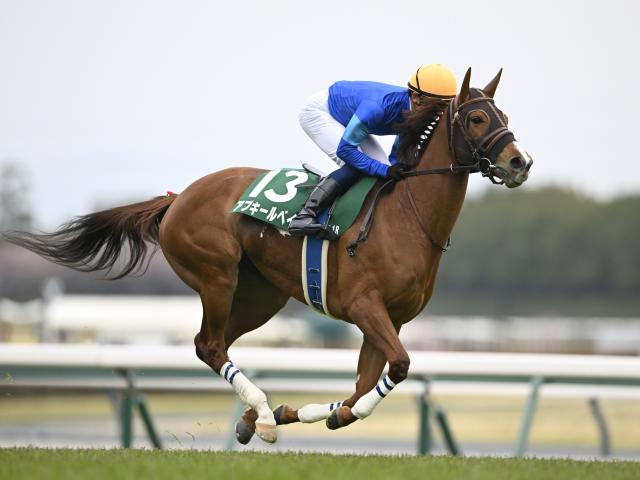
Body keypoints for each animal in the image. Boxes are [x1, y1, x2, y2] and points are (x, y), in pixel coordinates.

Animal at [5, 68, 532, 445]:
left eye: (505, 116)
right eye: (478, 118)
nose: (519, 162)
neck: (407, 215)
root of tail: (177, 198)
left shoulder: (390, 319)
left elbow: (364, 385)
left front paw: (305, 411)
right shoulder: (365, 306)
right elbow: (397, 368)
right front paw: (296, 413)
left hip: (260, 296)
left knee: (216, 344)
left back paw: (256, 415)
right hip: (216, 276)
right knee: (208, 345)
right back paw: (261, 411)